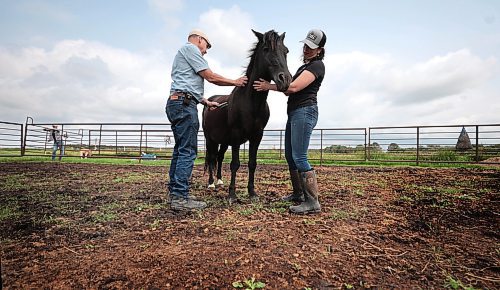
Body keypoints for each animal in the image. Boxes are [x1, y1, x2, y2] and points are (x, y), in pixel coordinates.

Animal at [201, 28, 292, 202]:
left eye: (286, 51)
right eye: (266, 49)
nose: (285, 80)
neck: (251, 102)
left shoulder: (257, 136)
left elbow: (252, 163)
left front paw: (252, 193)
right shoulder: (236, 135)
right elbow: (235, 164)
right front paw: (232, 195)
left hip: (224, 141)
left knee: (219, 157)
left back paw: (220, 181)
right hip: (210, 139)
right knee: (211, 158)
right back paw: (211, 183)